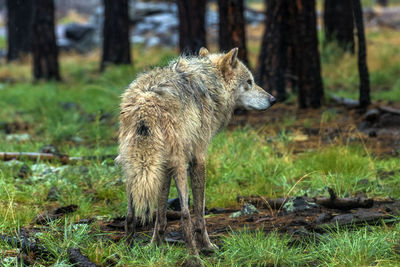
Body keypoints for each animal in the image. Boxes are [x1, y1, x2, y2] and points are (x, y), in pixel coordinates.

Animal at [115, 47, 276, 255]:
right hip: (179, 167)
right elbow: (199, 213)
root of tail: (147, 100)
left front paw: (155, 245)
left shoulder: (164, 167)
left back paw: (126, 250)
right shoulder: (198, 159)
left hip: (134, 167)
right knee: (185, 213)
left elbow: (160, 213)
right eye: (250, 82)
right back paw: (194, 255)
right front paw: (207, 245)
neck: (210, 83)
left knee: (130, 213)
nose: (273, 99)